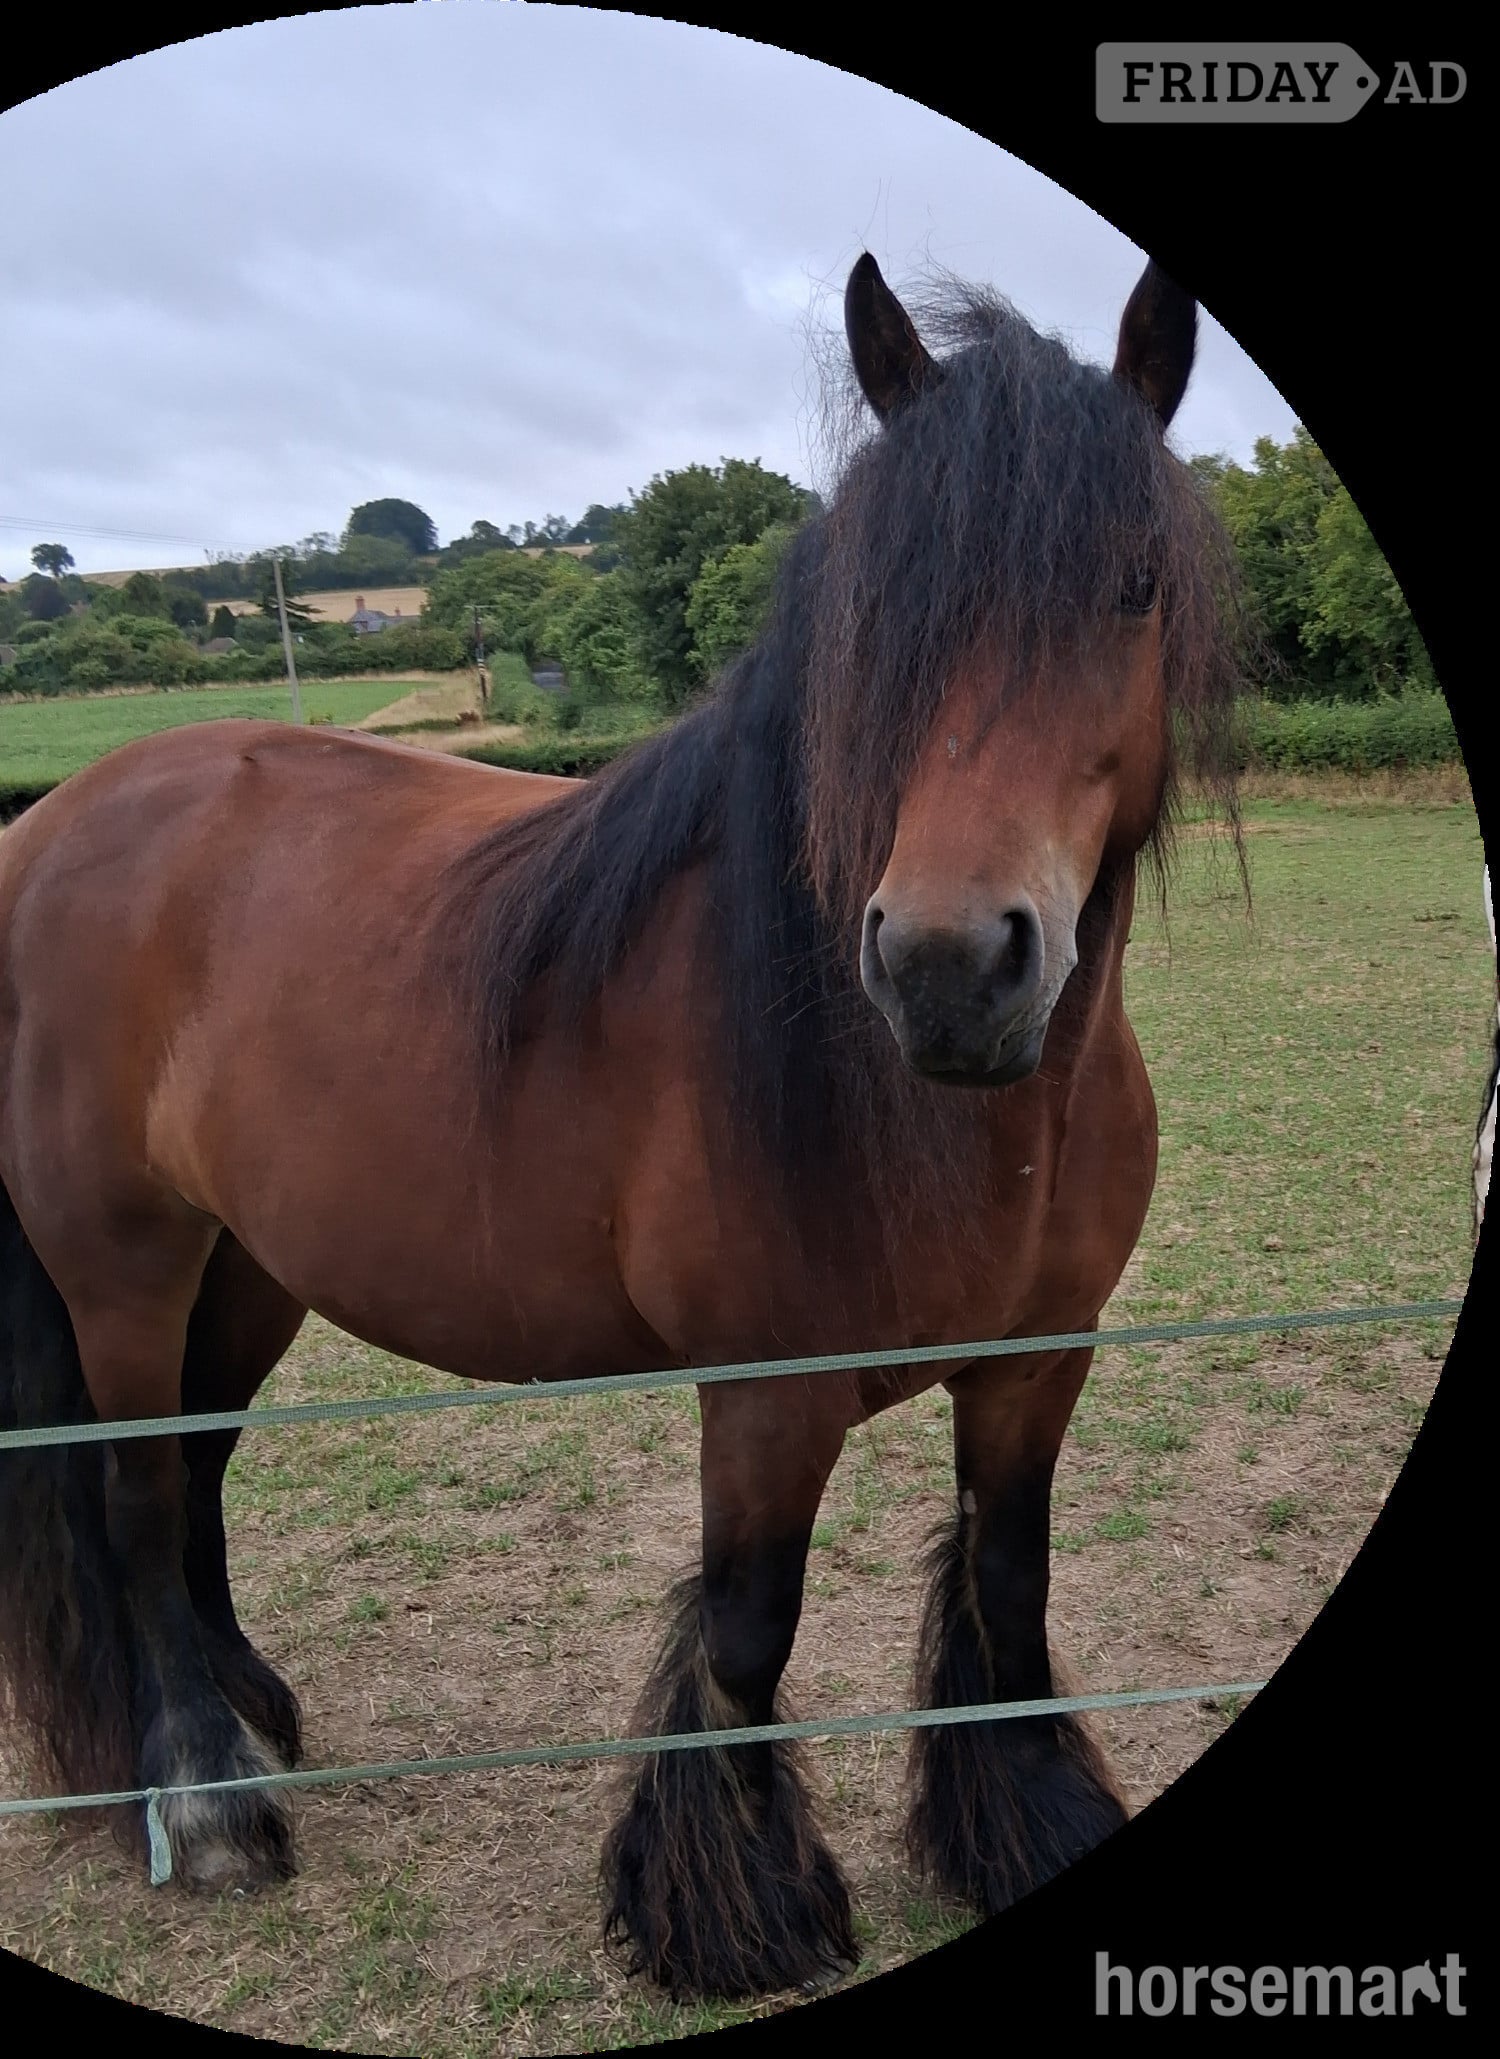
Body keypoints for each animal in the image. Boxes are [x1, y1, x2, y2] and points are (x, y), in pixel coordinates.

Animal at [0, 251, 1242, 2002]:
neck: (955, 1113)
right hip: (123, 1266)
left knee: (195, 1475)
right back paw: (209, 1803)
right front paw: (737, 1906)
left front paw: (1022, 1823)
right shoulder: (766, 1399)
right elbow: (746, 1630)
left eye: (1133, 582)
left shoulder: (1036, 1365)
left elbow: (1009, 1581)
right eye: (872, 605)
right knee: (131, 1498)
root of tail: (55, 824)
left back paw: (253, 1723)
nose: (947, 964)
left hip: (246, 1270)